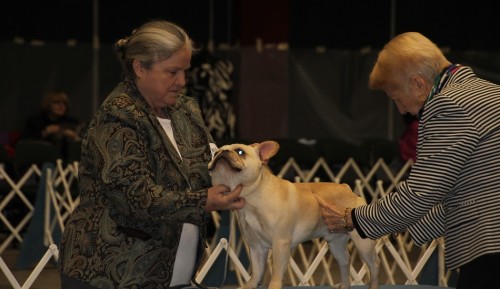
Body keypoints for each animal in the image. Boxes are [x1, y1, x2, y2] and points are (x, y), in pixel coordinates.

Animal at [208, 140, 378, 288]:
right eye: (215, 152)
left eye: (240, 152)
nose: (221, 153)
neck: (252, 197)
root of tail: (347, 188)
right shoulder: (256, 247)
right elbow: (256, 272)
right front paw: (249, 286)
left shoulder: (280, 242)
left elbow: (276, 272)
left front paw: (274, 287)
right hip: (335, 242)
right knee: (345, 262)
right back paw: (344, 286)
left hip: (363, 244)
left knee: (374, 266)